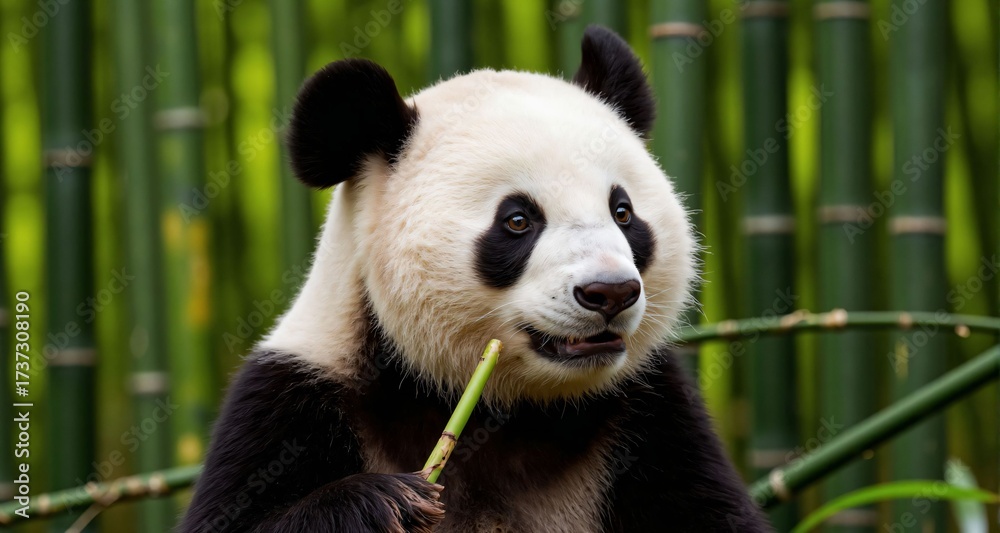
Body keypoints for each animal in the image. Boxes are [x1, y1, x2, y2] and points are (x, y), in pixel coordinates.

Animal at [181, 26, 769, 533]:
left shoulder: (650, 414)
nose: (610, 292)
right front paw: (386, 502)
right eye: (518, 220)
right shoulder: (292, 401)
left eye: (623, 212)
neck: (512, 412)